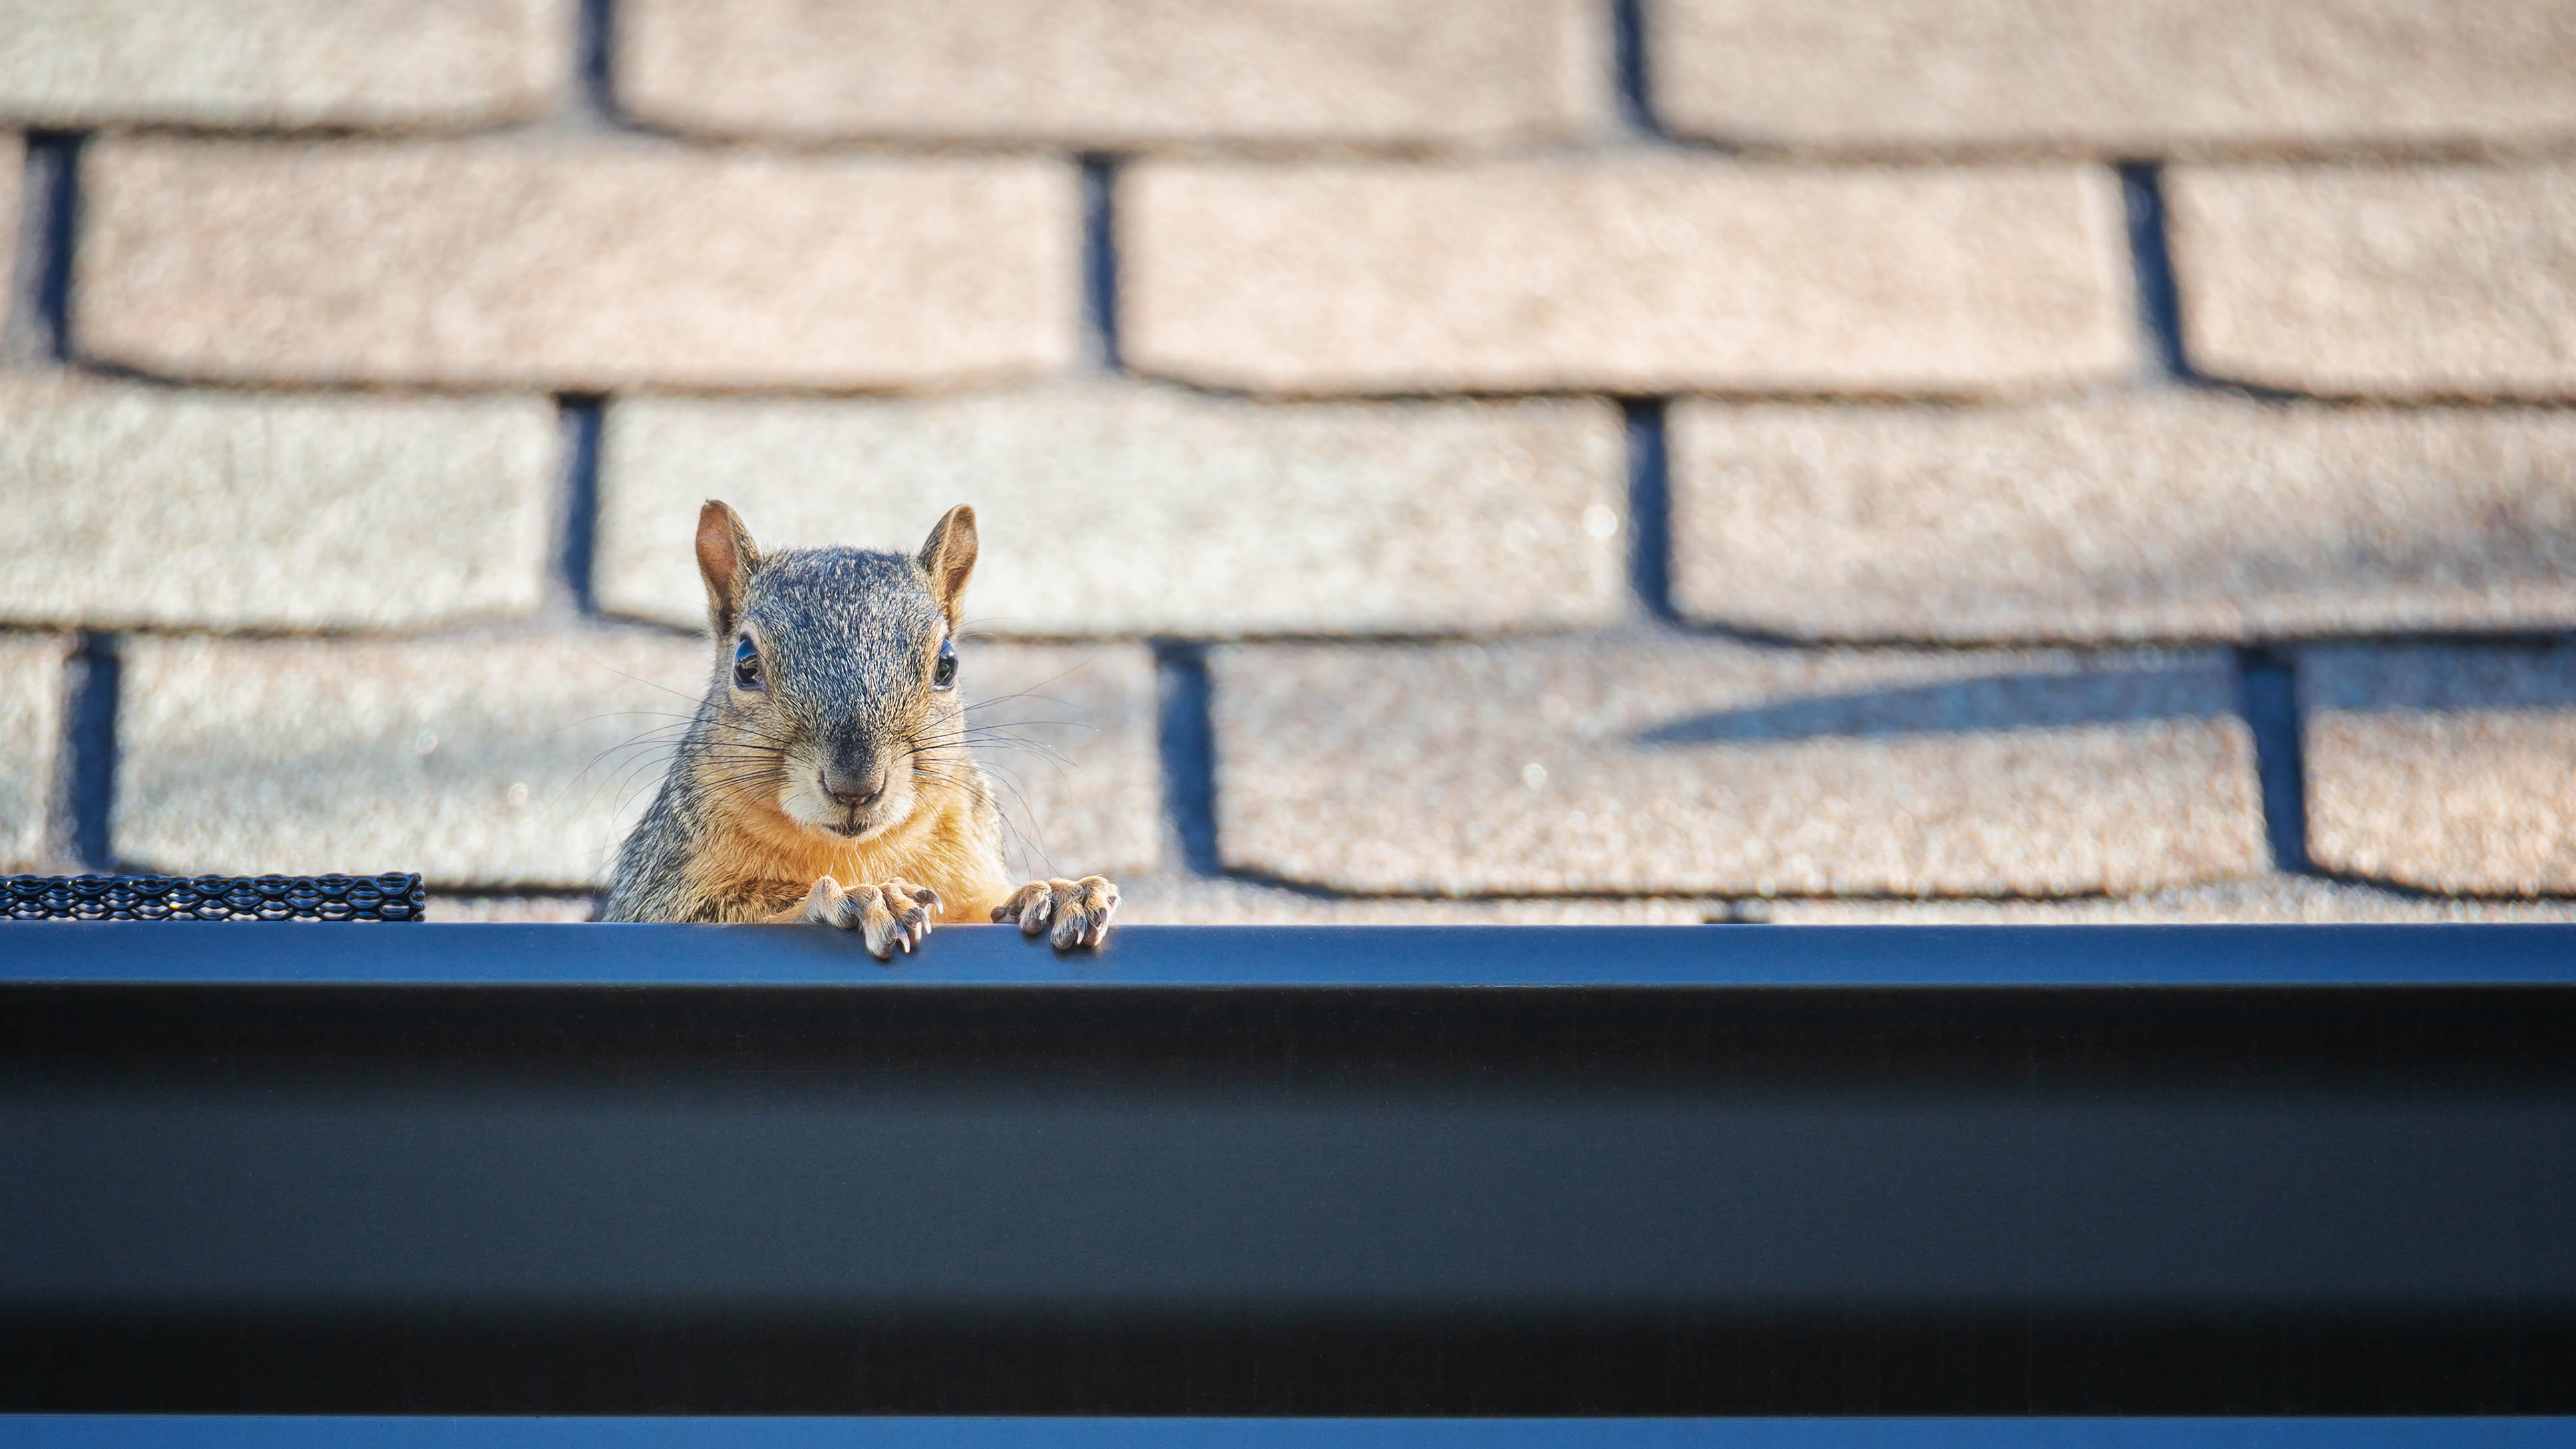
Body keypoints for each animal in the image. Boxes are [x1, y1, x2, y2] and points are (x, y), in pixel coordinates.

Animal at [603, 500, 1128, 959]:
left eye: (947, 665)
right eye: (745, 664)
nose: (854, 786)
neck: (855, 850)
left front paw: (1056, 893)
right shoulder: (657, 894)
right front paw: (855, 899)